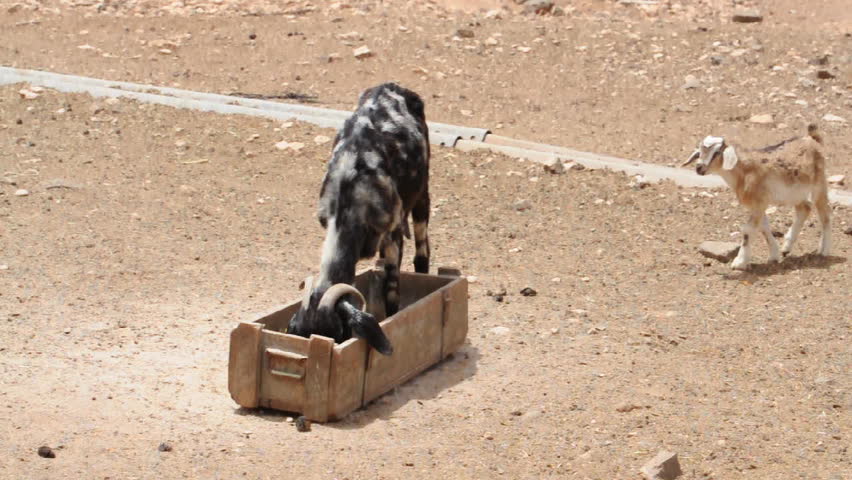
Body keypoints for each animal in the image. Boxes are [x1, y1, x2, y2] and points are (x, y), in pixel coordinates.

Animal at [287, 83, 431, 355]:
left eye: (340, 332)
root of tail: (391, 86)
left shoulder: (393, 233)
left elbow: (392, 295)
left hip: (422, 195)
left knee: (422, 251)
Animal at [683, 124, 831, 270]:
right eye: (700, 151)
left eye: (717, 152)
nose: (699, 168)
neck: (743, 172)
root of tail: (812, 139)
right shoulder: (757, 204)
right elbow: (764, 227)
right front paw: (774, 255)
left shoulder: (759, 202)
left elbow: (748, 230)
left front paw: (740, 262)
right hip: (795, 193)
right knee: (804, 208)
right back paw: (786, 247)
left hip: (819, 184)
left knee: (824, 214)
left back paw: (824, 250)